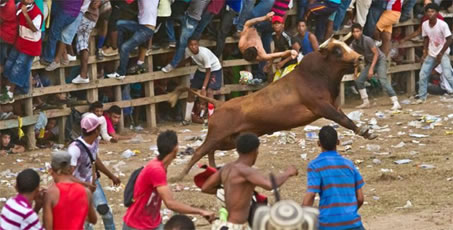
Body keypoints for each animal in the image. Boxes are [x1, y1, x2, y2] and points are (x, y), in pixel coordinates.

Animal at [168, 38, 376, 180]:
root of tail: (220, 104)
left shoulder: (334, 105)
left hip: (229, 139)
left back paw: (213, 169)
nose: (360, 58)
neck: (317, 74)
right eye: (338, 51)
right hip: (217, 134)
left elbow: (345, 117)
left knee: (210, 150)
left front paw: (367, 132)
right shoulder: (322, 107)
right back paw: (180, 176)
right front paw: (365, 131)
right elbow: (343, 120)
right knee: (199, 151)